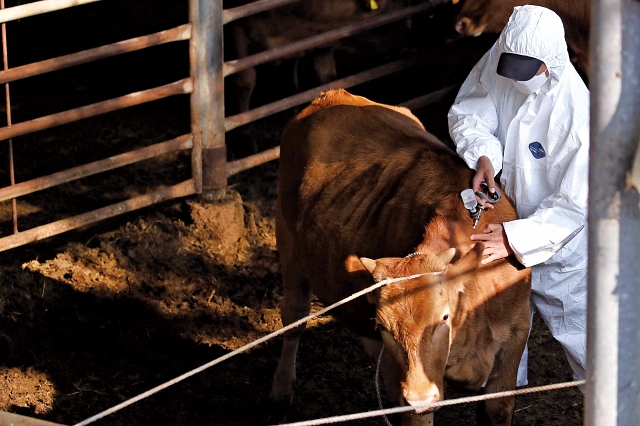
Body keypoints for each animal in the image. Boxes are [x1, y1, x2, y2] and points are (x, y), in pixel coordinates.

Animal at [268, 88, 528, 424]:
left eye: (444, 317)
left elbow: (498, 408)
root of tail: (330, 95)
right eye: (384, 327)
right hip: (288, 244)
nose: (419, 397)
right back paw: (280, 392)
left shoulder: (517, 334)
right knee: (294, 317)